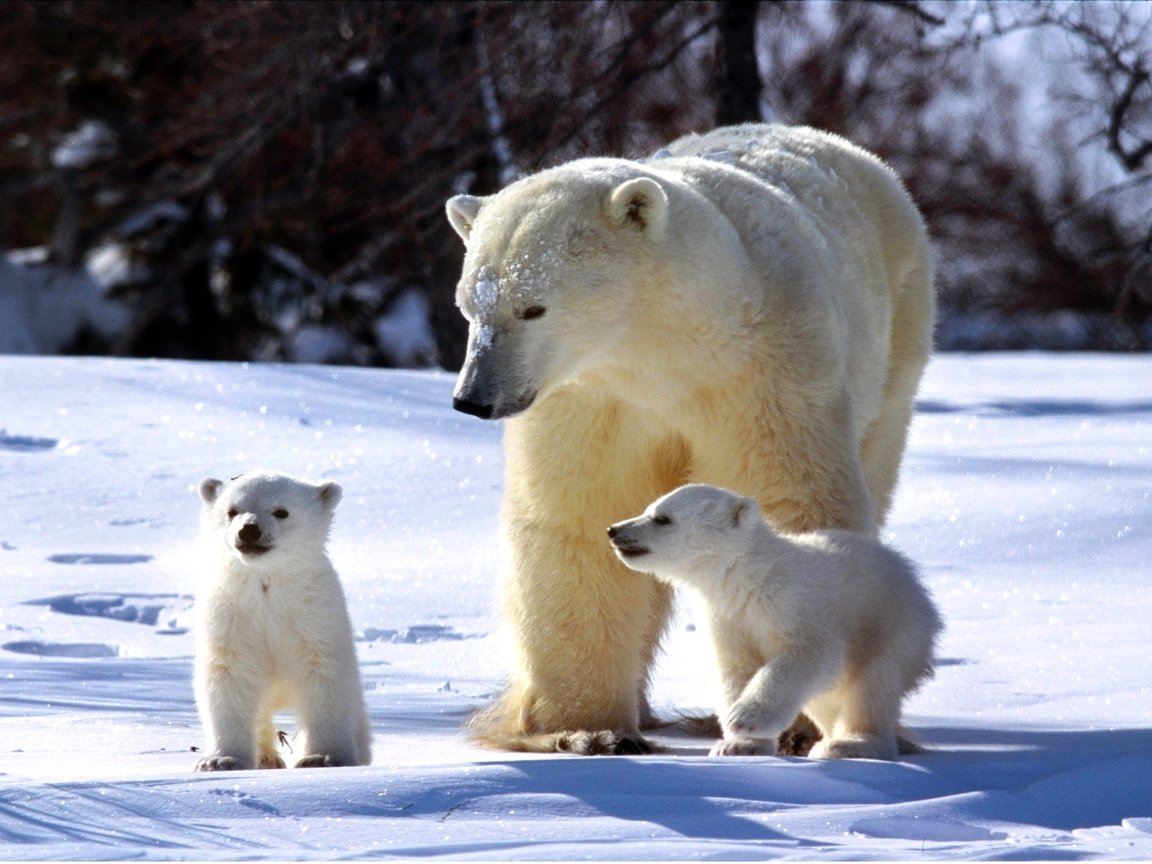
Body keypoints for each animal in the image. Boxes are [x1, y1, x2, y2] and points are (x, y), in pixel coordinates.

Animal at [193, 470, 370, 774]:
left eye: (281, 511)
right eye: (232, 511)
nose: (248, 530)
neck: (267, 587)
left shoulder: (314, 617)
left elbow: (325, 676)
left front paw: (322, 758)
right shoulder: (232, 617)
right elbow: (229, 676)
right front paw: (221, 760)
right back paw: (266, 758)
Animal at [608, 488, 940, 764]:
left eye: (662, 518)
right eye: (648, 508)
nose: (614, 530)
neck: (750, 576)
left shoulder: (795, 602)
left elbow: (810, 654)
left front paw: (744, 718)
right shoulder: (728, 618)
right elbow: (736, 669)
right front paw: (739, 745)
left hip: (892, 626)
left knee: (872, 685)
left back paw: (848, 744)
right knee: (826, 698)